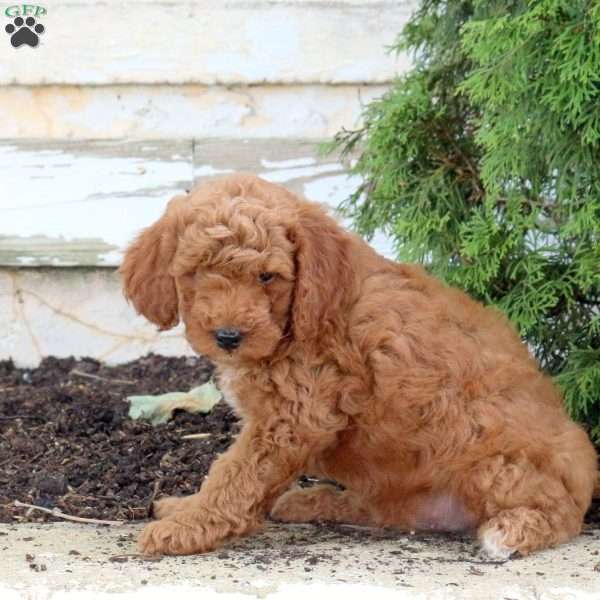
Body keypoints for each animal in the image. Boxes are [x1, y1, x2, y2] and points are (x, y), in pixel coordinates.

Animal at [120, 172, 596, 556]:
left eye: (267, 277)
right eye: (197, 273)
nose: (228, 336)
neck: (300, 319)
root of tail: (585, 465)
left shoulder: (293, 419)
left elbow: (233, 477)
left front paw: (185, 527)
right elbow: (229, 474)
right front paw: (183, 507)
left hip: (494, 454)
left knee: (560, 511)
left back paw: (512, 530)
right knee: (382, 509)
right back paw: (312, 502)